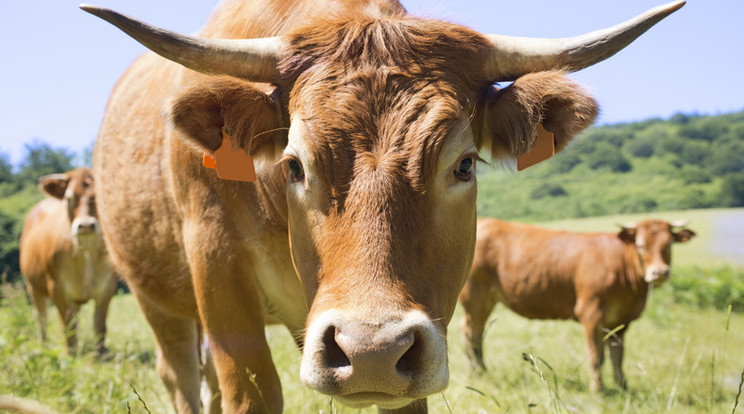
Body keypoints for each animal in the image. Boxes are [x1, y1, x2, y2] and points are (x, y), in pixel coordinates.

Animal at [18, 168, 116, 356]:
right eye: (69, 198)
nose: (86, 226)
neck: (86, 253)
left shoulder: (107, 287)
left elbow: (99, 325)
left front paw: (101, 354)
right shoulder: (56, 289)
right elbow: (66, 325)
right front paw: (70, 355)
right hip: (33, 287)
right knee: (42, 318)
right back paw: (43, 345)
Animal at [460, 218, 696, 392]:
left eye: (668, 245)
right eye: (640, 245)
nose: (659, 272)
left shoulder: (621, 321)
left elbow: (617, 356)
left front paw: (623, 386)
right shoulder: (591, 314)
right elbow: (597, 356)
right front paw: (598, 390)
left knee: (471, 332)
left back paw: (476, 370)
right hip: (476, 298)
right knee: (473, 335)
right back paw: (480, 372)